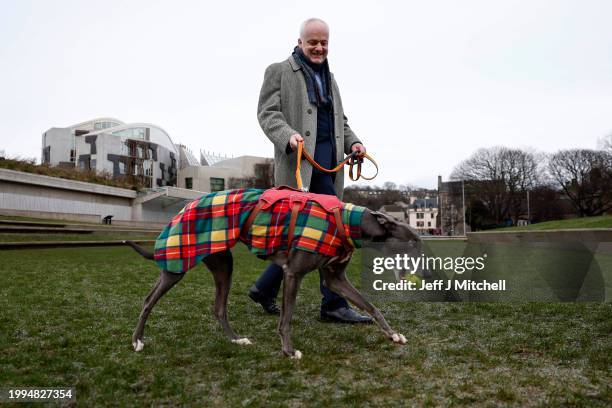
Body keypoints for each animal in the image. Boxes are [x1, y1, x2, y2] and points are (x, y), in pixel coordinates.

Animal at [126, 186, 424, 358]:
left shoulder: (335, 278)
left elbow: (371, 306)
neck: (348, 223)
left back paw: (237, 340)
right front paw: (289, 351)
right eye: (413, 242)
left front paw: (393, 334)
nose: (425, 270)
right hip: (178, 262)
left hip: (222, 263)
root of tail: (183, 208)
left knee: (219, 308)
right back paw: (137, 341)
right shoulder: (293, 273)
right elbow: (287, 318)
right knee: (148, 301)